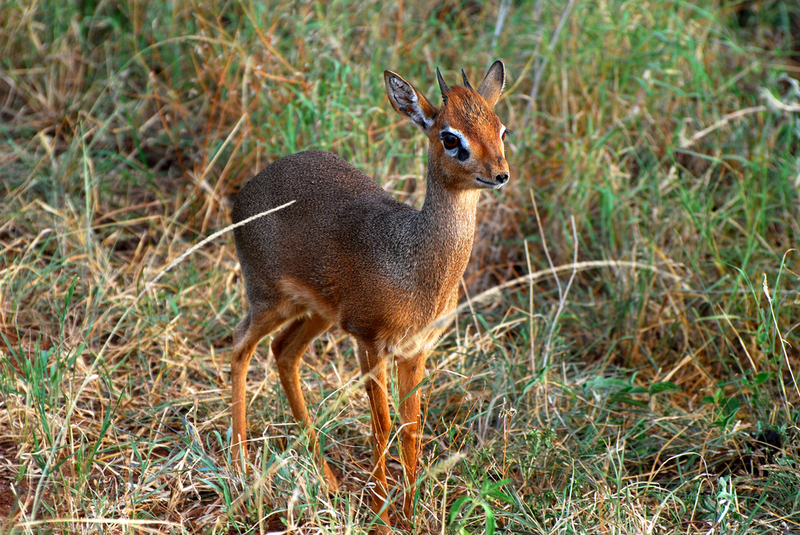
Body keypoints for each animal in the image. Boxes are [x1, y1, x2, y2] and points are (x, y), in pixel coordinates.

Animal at [228, 60, 510, 528]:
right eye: (451, 138)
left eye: (501, 128)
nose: (500, 174)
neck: (413, 262)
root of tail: (244, 194)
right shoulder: (369, 343)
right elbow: (381, 427)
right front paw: (381, 514)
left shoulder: (415, 351)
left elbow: (412, 430)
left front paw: (410, 515)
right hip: (268, 298)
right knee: (239, 347)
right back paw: (239, 465)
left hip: (317, 313)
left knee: (283, 352)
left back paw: (326, 479)